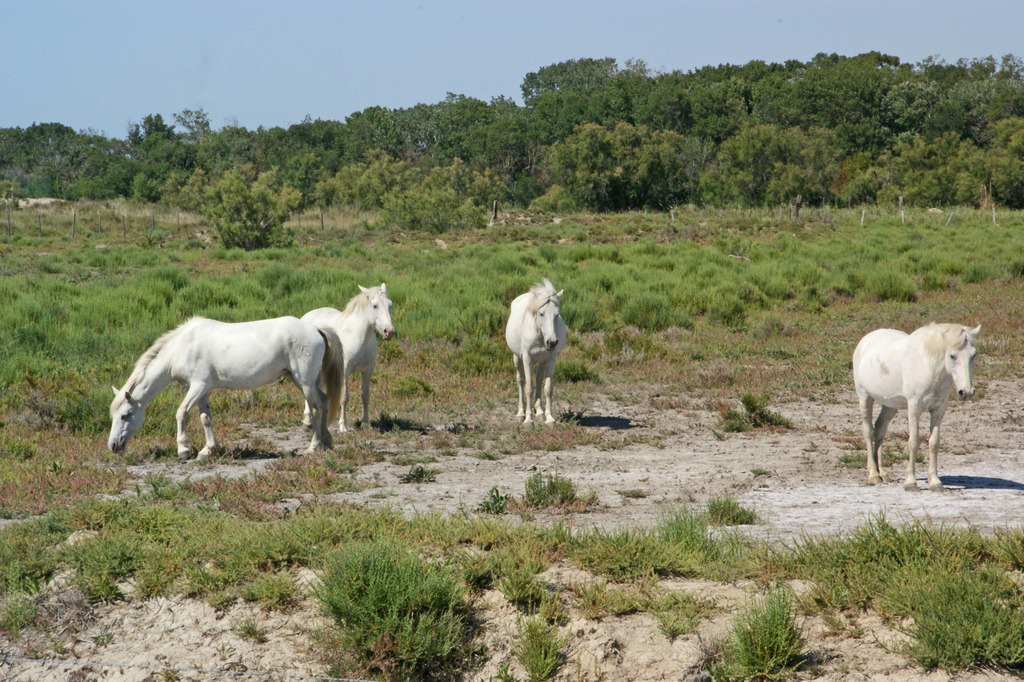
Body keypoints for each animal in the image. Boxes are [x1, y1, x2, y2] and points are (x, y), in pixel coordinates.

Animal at [108, 316, 341, 460]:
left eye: (125, 415)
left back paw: (313, 446)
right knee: (324, 401)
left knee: (316, 408)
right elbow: (205, 418)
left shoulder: (198, 385)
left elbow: (181, 412)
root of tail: (316, 329)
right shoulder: (203, 389)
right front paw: (208, 450)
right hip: (302, 380)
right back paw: (327, 442)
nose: (112, 446)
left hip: (304, 381)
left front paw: (183, 449)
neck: (183, 346)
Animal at [301, 283, 396, 432]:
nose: (389, 331)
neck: (359, 336)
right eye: (375, 305)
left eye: (390, 304)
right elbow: (344, 397)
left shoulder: (368, 370)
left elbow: (365, 395)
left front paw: (365, 423)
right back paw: (307, 420)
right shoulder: (344, 371)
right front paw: (343, 426)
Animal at [505, 278, 567, 424]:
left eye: (557, 314)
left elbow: (548, 388)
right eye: (541, 313)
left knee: (538, 379)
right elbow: (529, 388)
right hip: (517, 357)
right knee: (521, 380)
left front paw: (549, 418)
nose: (552, 342)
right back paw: (521, 413)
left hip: (542, 360)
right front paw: (528, 420)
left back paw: (539, 412)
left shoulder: (550, 359)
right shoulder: (527, 358)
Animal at [852, 323, 980, 491]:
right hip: (864, 397)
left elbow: (934, 443)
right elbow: (913, 442)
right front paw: (910, 482)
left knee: (880, 429)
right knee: (868, 432)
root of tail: (866, 339)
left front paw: (935, 482)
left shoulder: (938, 409)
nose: (966, 392)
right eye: (952, 356)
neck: (928, 366)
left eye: (974, 355)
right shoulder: (914, 407)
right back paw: (873, 475)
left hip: (890, 405)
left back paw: (882, 473)